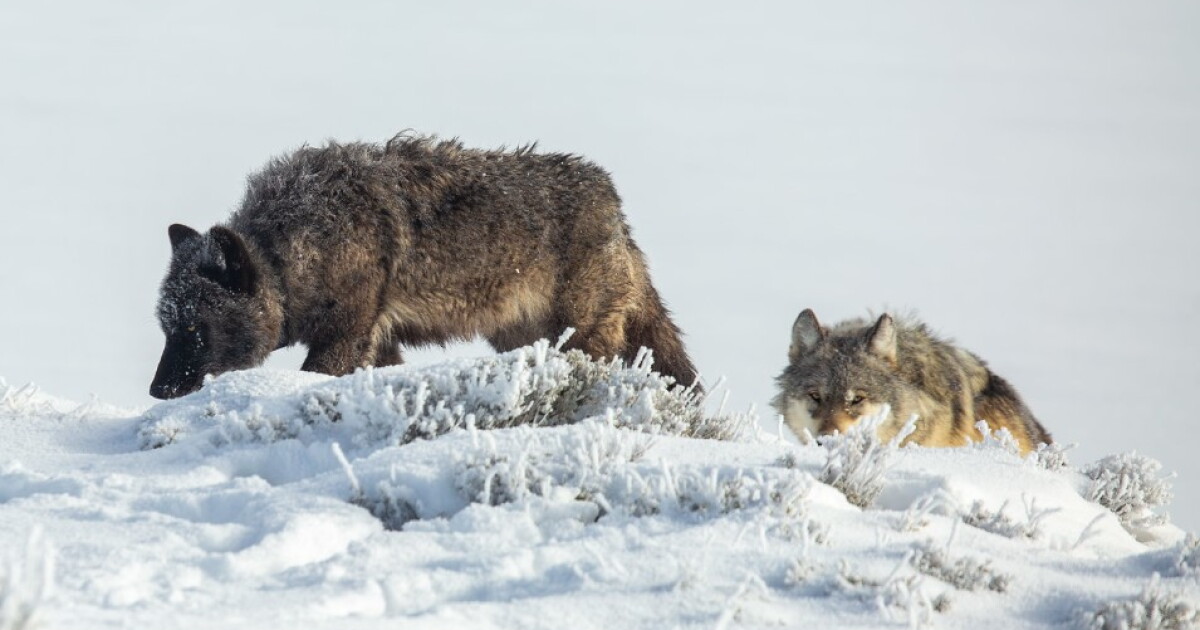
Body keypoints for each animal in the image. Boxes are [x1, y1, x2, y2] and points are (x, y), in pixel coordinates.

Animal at [149, 133, 699, 399]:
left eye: (196, 328)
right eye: (167, 328)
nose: (158, 391)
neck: (294, 252)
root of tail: (614, 206)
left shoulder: (344, 337)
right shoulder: (378, 342)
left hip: (578, 339)